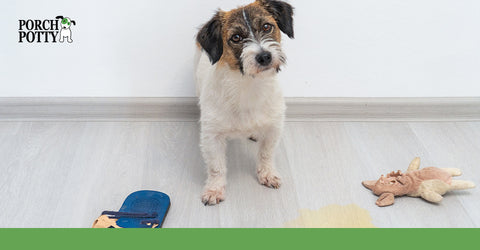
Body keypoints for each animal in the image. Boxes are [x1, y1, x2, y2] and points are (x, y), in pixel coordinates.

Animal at [194, 0, 292, 205]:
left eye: (267, 26)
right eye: (236, 37)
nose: (264, 56)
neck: (248, 85)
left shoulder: (274, 127)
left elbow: (266, 153)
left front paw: (267, 174)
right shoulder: (212, 137)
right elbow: (216, 166)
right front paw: (214, 189)